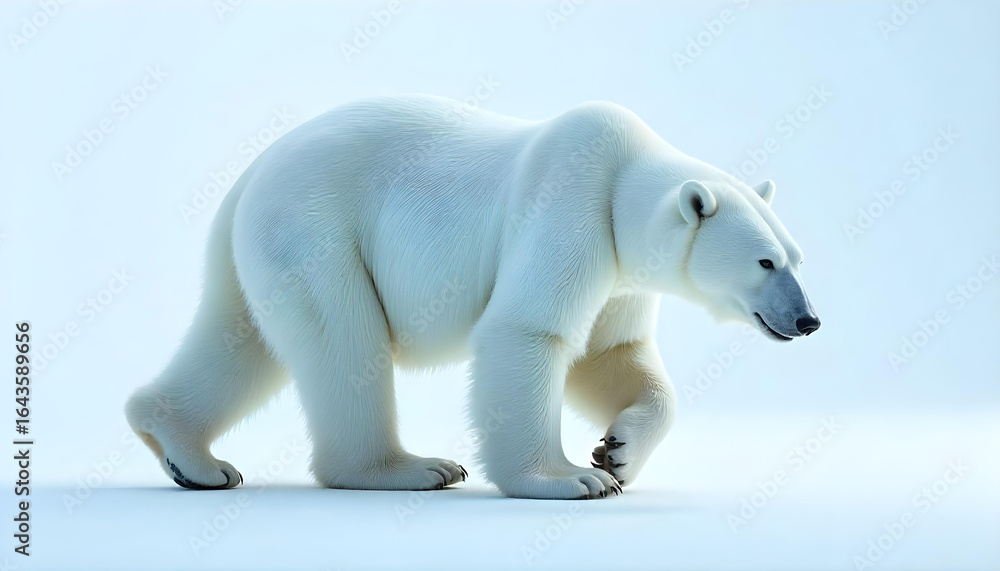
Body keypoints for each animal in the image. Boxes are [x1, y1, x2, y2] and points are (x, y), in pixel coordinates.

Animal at [126, 94, 819, 499]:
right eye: (764, 261)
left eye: (797, 257)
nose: (809, 319)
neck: (621, 181)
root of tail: (249, 173)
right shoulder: (571, 207)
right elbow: (528, 331)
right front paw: (572, 477)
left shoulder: (622, 273)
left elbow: (612, 353)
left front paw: (619, 452)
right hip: (316, 228)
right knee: (344, 342)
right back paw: (412, 469)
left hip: (257, 246)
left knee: (240, 337)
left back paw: (190, 454)